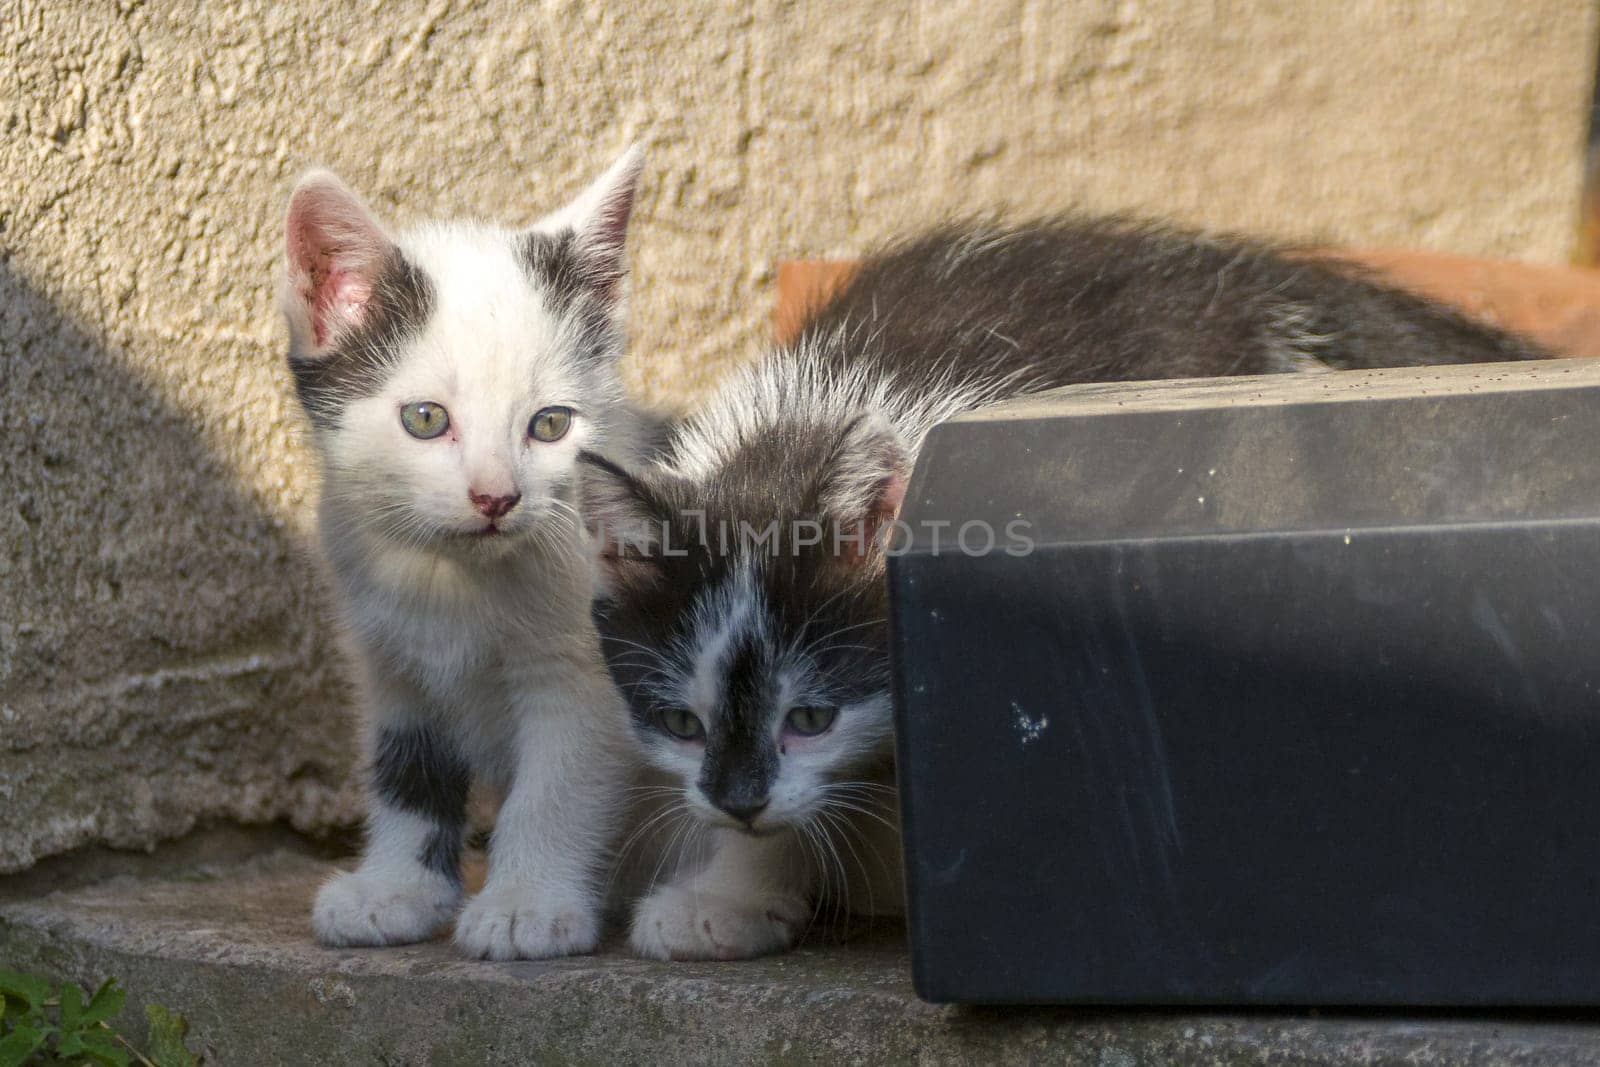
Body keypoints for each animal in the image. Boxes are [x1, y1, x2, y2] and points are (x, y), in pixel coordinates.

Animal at [288, 143, 643, 959]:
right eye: (425, 419)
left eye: (550, 425)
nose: (496, 497)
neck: (452, 578)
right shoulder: (388, 663)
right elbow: (405, 769)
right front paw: (394, 889)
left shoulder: (583, 676)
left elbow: (555, 788)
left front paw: (525, 905)